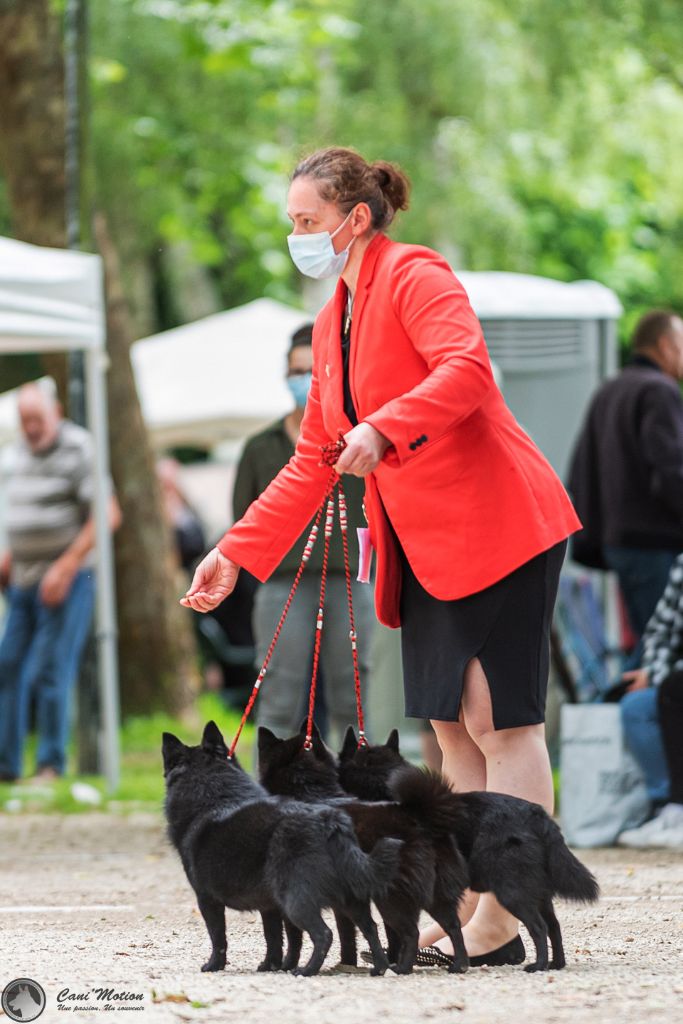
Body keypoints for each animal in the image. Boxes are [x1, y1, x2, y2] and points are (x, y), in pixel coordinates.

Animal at [162, 720, 403, 974]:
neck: (215, 797)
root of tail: (329, 823)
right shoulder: (270, 906)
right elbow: (275, 938)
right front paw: (272, 965)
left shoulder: (208, 900)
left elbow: (219, 938)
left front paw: (214, 965)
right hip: (350, 899)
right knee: (370, 928)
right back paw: (379, 968)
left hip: (296, 900)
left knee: (324, 934)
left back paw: (307, 970)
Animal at [255, 720, 471, 974]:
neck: (307, 791)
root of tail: (420, 818)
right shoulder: (345, 898)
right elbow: (348, 932)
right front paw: (347, 962)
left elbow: (287, 935)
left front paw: (281, 964)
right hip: (436, 895)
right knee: (453, 926)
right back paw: (458, 964)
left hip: (391, 897)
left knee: (411, 932)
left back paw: (401, 967)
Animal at [337, 724, 598, 970]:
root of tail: (537, 815)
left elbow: (394, 932)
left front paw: (394, 962)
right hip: (538, 891)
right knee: (554, 926)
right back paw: (557, 964)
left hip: (513, 889)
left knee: (539, 927)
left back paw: (539, 965)